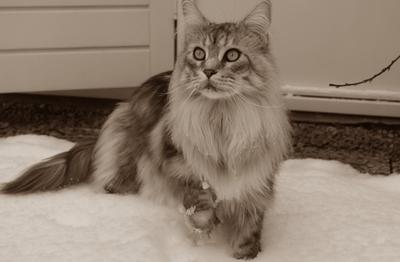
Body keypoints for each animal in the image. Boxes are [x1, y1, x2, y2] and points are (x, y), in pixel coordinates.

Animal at [2, 0, 290, 258]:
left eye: (232, 55)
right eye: (199, 53)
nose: (208, 71)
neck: (222, 118)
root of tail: (126, 104)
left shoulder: (256, 182)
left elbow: (248, 232)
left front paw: (246, 253)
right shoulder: (177, 166)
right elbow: (196, 201)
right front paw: (205, 223)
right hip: (130, 167)